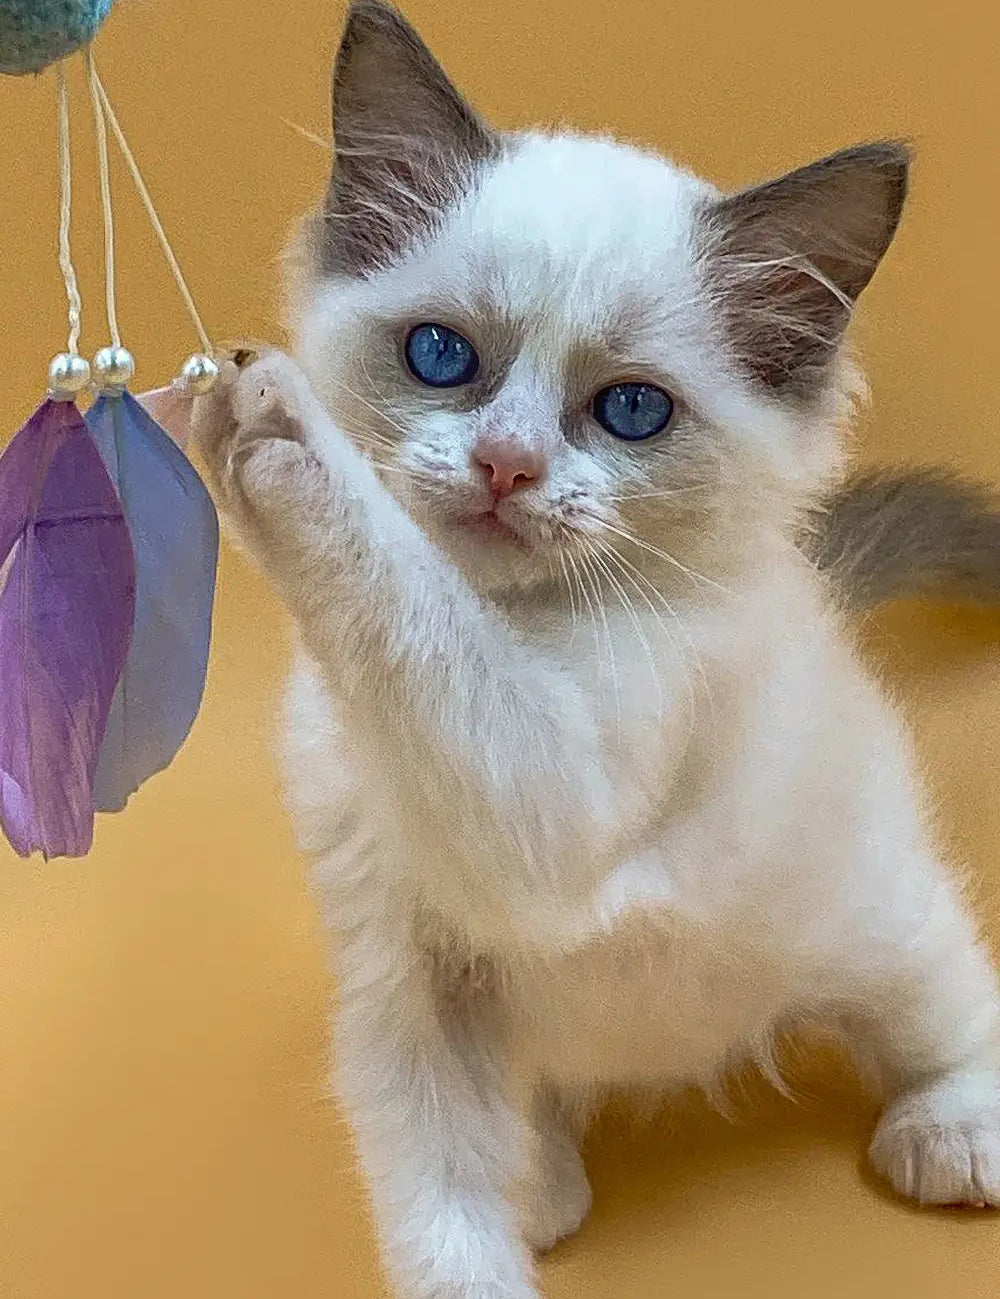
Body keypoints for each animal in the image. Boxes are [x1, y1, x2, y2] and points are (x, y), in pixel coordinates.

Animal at [192, 5, 997, 1293]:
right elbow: (439, 1205)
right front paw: (482, 1246)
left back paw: (952, 1132)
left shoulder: (567, 791)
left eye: (630, 411)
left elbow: (415, 617)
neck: (520, 623)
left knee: (942, 996)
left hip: (865, 912)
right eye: (439, 355)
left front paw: (278, 427)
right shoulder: (406, 979)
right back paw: (545, 1185)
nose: (506, 466)